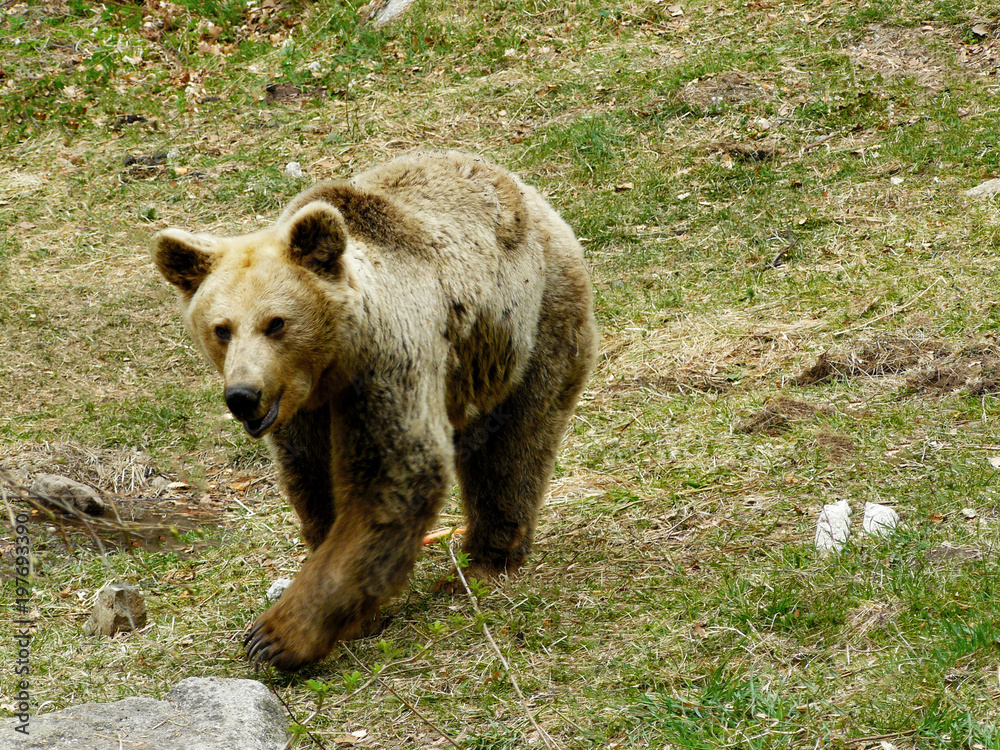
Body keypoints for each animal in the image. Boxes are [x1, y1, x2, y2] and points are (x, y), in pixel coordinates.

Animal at [152, 150, 596, 672]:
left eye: (275, 323)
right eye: (221, 328)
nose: (243, 395)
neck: (330, 365)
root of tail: (525, 189)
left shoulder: (388, 362)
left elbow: (395, 475)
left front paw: (275, 636)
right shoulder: (304, 414)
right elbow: (314, 481)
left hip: (529, 322)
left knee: (514, 447)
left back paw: (486, 560)